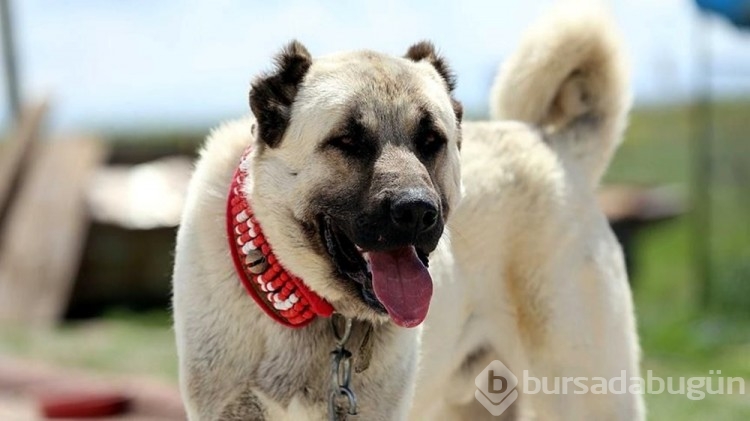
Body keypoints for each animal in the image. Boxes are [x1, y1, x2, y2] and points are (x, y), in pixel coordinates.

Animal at [172, 6, 648, 420]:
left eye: (431, 140)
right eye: (348, 140)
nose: (417, 211)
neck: (319, 309)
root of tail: (554, 145)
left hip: (586, 388)